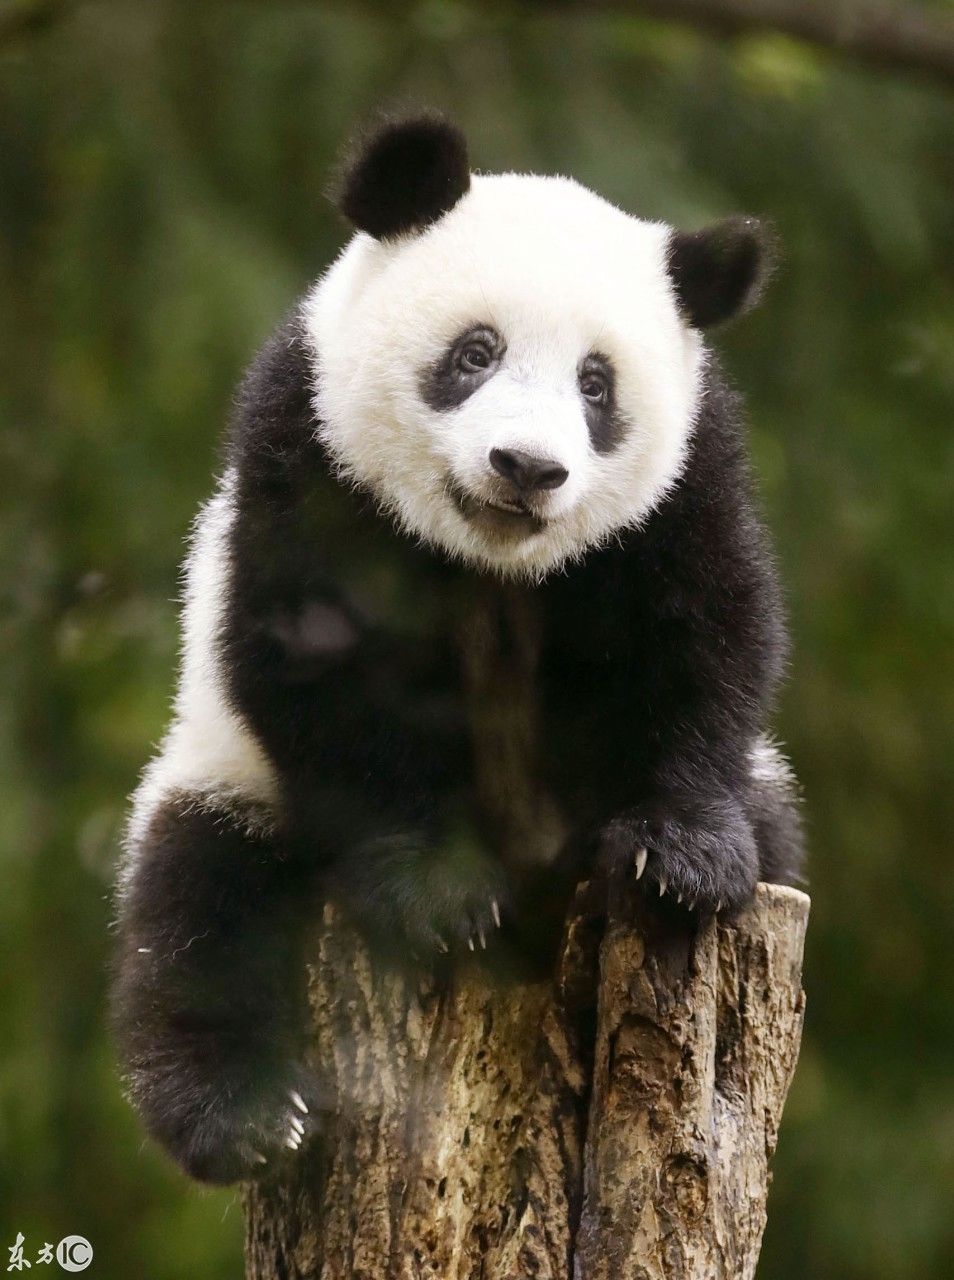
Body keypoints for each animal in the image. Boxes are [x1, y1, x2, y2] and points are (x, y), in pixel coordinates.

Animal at [111, 115, 804, 1182]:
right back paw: (247, 1116)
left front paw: (678, 855)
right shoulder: (307, 447)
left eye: (596, 384)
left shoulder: (688, 487)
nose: (528, 467)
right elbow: (312, 666)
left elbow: (707, 638)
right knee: (199, 908)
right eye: (476, 352)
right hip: (231, 779)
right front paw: (439, 889)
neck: (493, 564)